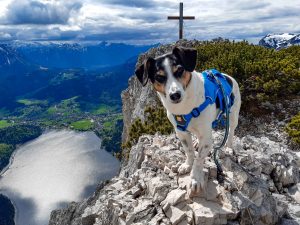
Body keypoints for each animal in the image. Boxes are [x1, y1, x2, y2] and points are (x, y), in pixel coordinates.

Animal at [135, 46, 241, 195]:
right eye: (159, 77)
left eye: (179, 70)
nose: (175, 95)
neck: (184, 107)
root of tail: (227, 76)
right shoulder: (181, 132)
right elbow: (189, 151)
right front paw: (187, 164)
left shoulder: (206, 137)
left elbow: (199, 159)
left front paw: (195, 178)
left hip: (232, 115)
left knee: (231, 131)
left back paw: (229, 147)